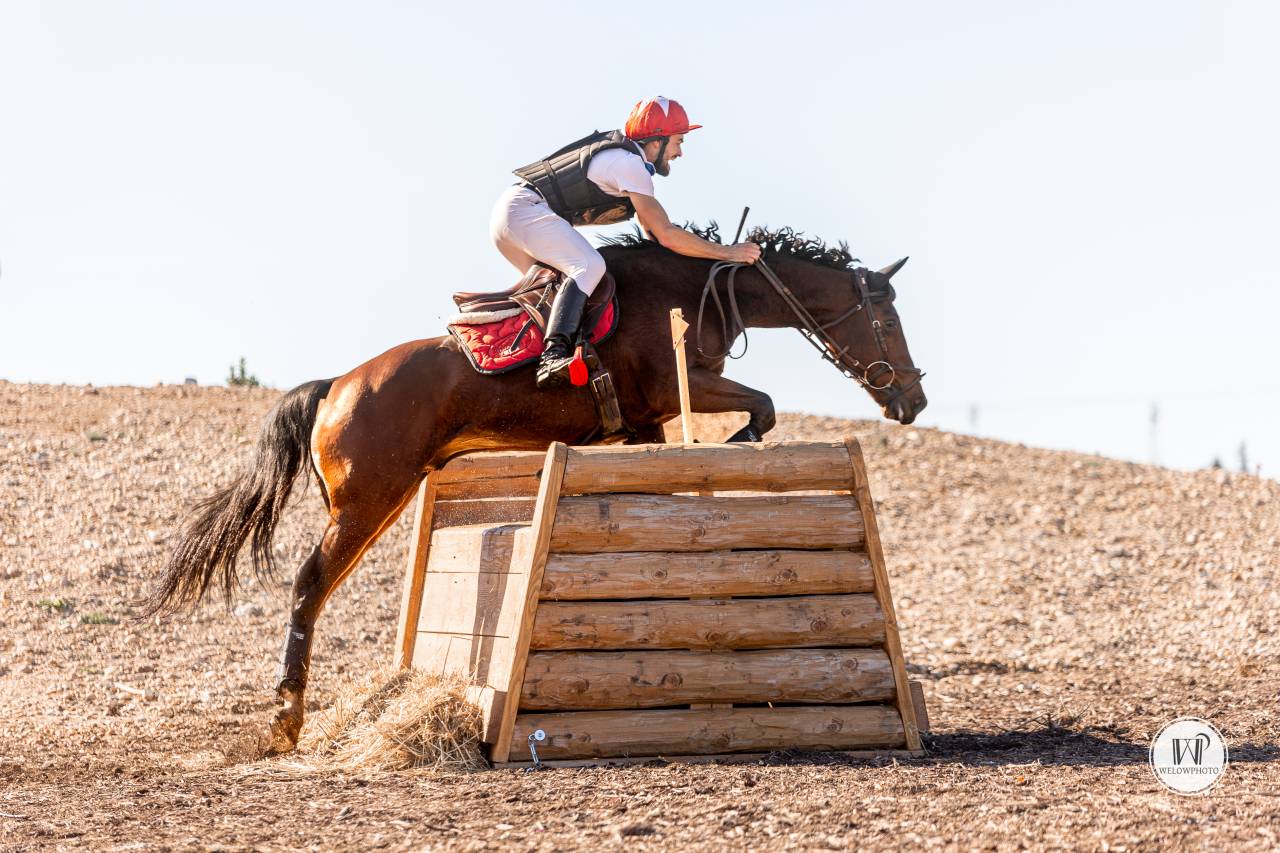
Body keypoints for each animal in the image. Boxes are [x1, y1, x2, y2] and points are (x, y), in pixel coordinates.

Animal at [148, 224, 928, 753]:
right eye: (886, 318)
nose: (913, 401)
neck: (700, 289)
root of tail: (337, 384)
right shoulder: (681, 386)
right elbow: (759, 405)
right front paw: (735, 449)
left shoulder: (644, 420)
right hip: (368, 498)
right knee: (310, 582)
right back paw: (286, 719)